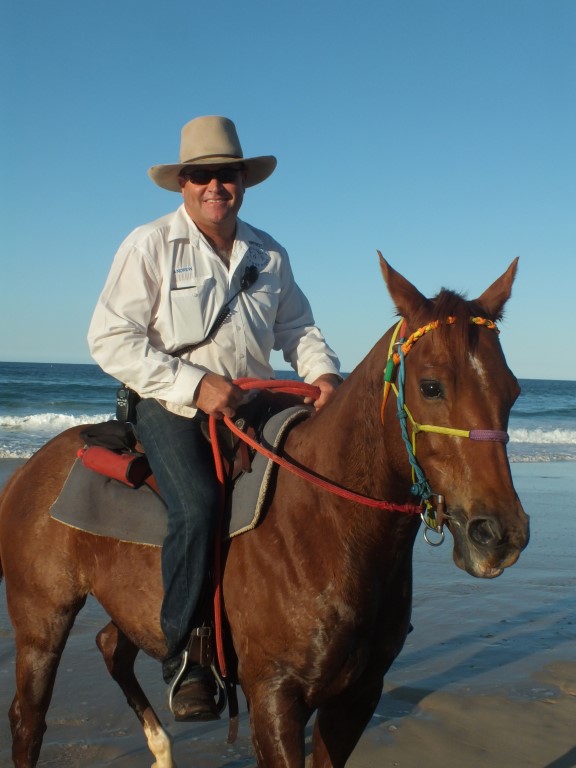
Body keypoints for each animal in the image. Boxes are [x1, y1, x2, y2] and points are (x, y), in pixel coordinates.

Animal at [0, 256, 529, 768]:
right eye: (431, 386)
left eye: (514, 390)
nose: (499, 534)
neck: (329, 526)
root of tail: (28, 470)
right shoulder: (275, 697)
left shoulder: (357, 697)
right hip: (42, 622)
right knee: (29, 722)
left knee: (112, 648)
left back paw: (162, 749)